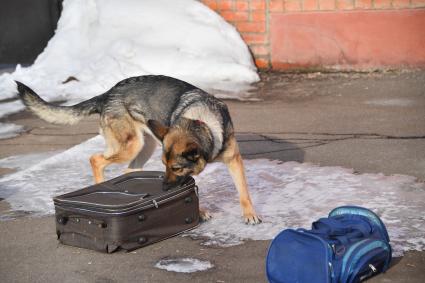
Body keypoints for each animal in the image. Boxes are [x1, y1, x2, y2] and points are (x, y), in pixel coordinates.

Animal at [14, 75, 260, 224]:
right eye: (165, 166)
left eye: (175, 168)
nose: (164, 187)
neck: (201, 121)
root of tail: (107, 94)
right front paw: (198, 212)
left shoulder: (234, 160)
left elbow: (244, 192)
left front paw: (250, 214)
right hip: (132, 146)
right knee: (96, 159)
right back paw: (100, 183)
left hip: (145, 146)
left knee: (128, 170)